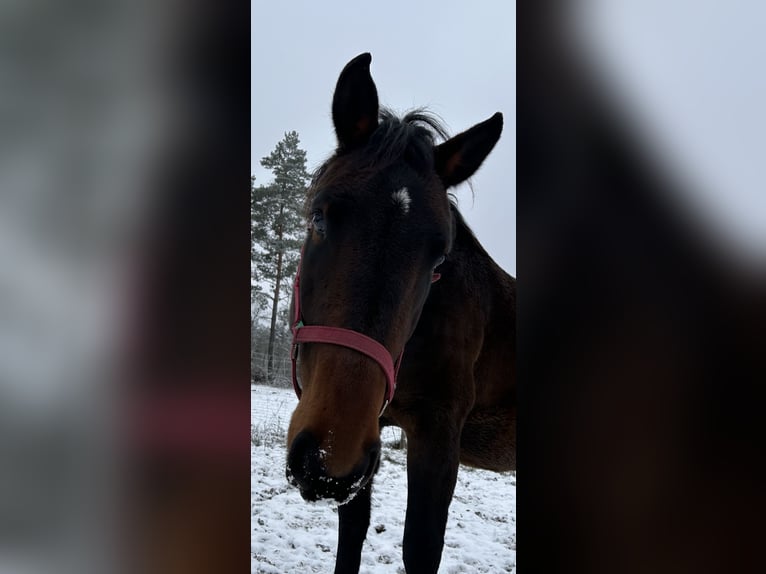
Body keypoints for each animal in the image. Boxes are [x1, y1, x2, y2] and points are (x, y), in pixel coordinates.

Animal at [284, 51, 516, 572]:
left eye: (439, 256)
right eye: (318, 217)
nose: (327, 459)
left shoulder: (437, 433)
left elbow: (421, 546)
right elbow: (352, 532)